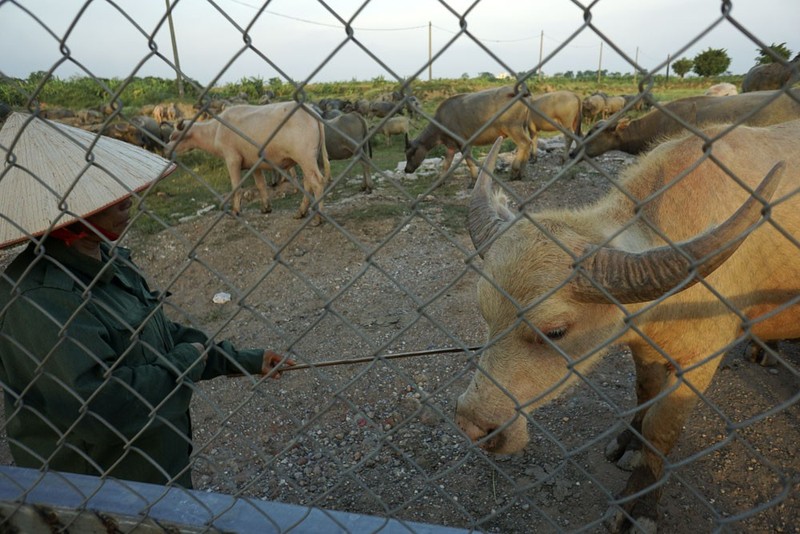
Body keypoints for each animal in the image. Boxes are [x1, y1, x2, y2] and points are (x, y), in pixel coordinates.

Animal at [166, 101, 332, 225]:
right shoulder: (255, 164)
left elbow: (236, 186)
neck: (216, 130)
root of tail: (312, 111)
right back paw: (301, 212)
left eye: (174, 136)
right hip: (306, 160)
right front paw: (266, 208)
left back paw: (318, 218)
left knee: (317, 183)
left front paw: (236, 210)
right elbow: (260, 184)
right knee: (308, 183)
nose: (165, 150)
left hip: (306, 158)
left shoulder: (232, 159)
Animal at [460, 120, 796, 532]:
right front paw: (629, 444)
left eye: (554, 331)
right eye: (484, 313)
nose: (472, 425)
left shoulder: (699, 363)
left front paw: (640, 505)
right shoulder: (644, 349)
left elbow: (662, 429)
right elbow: (643, 393)